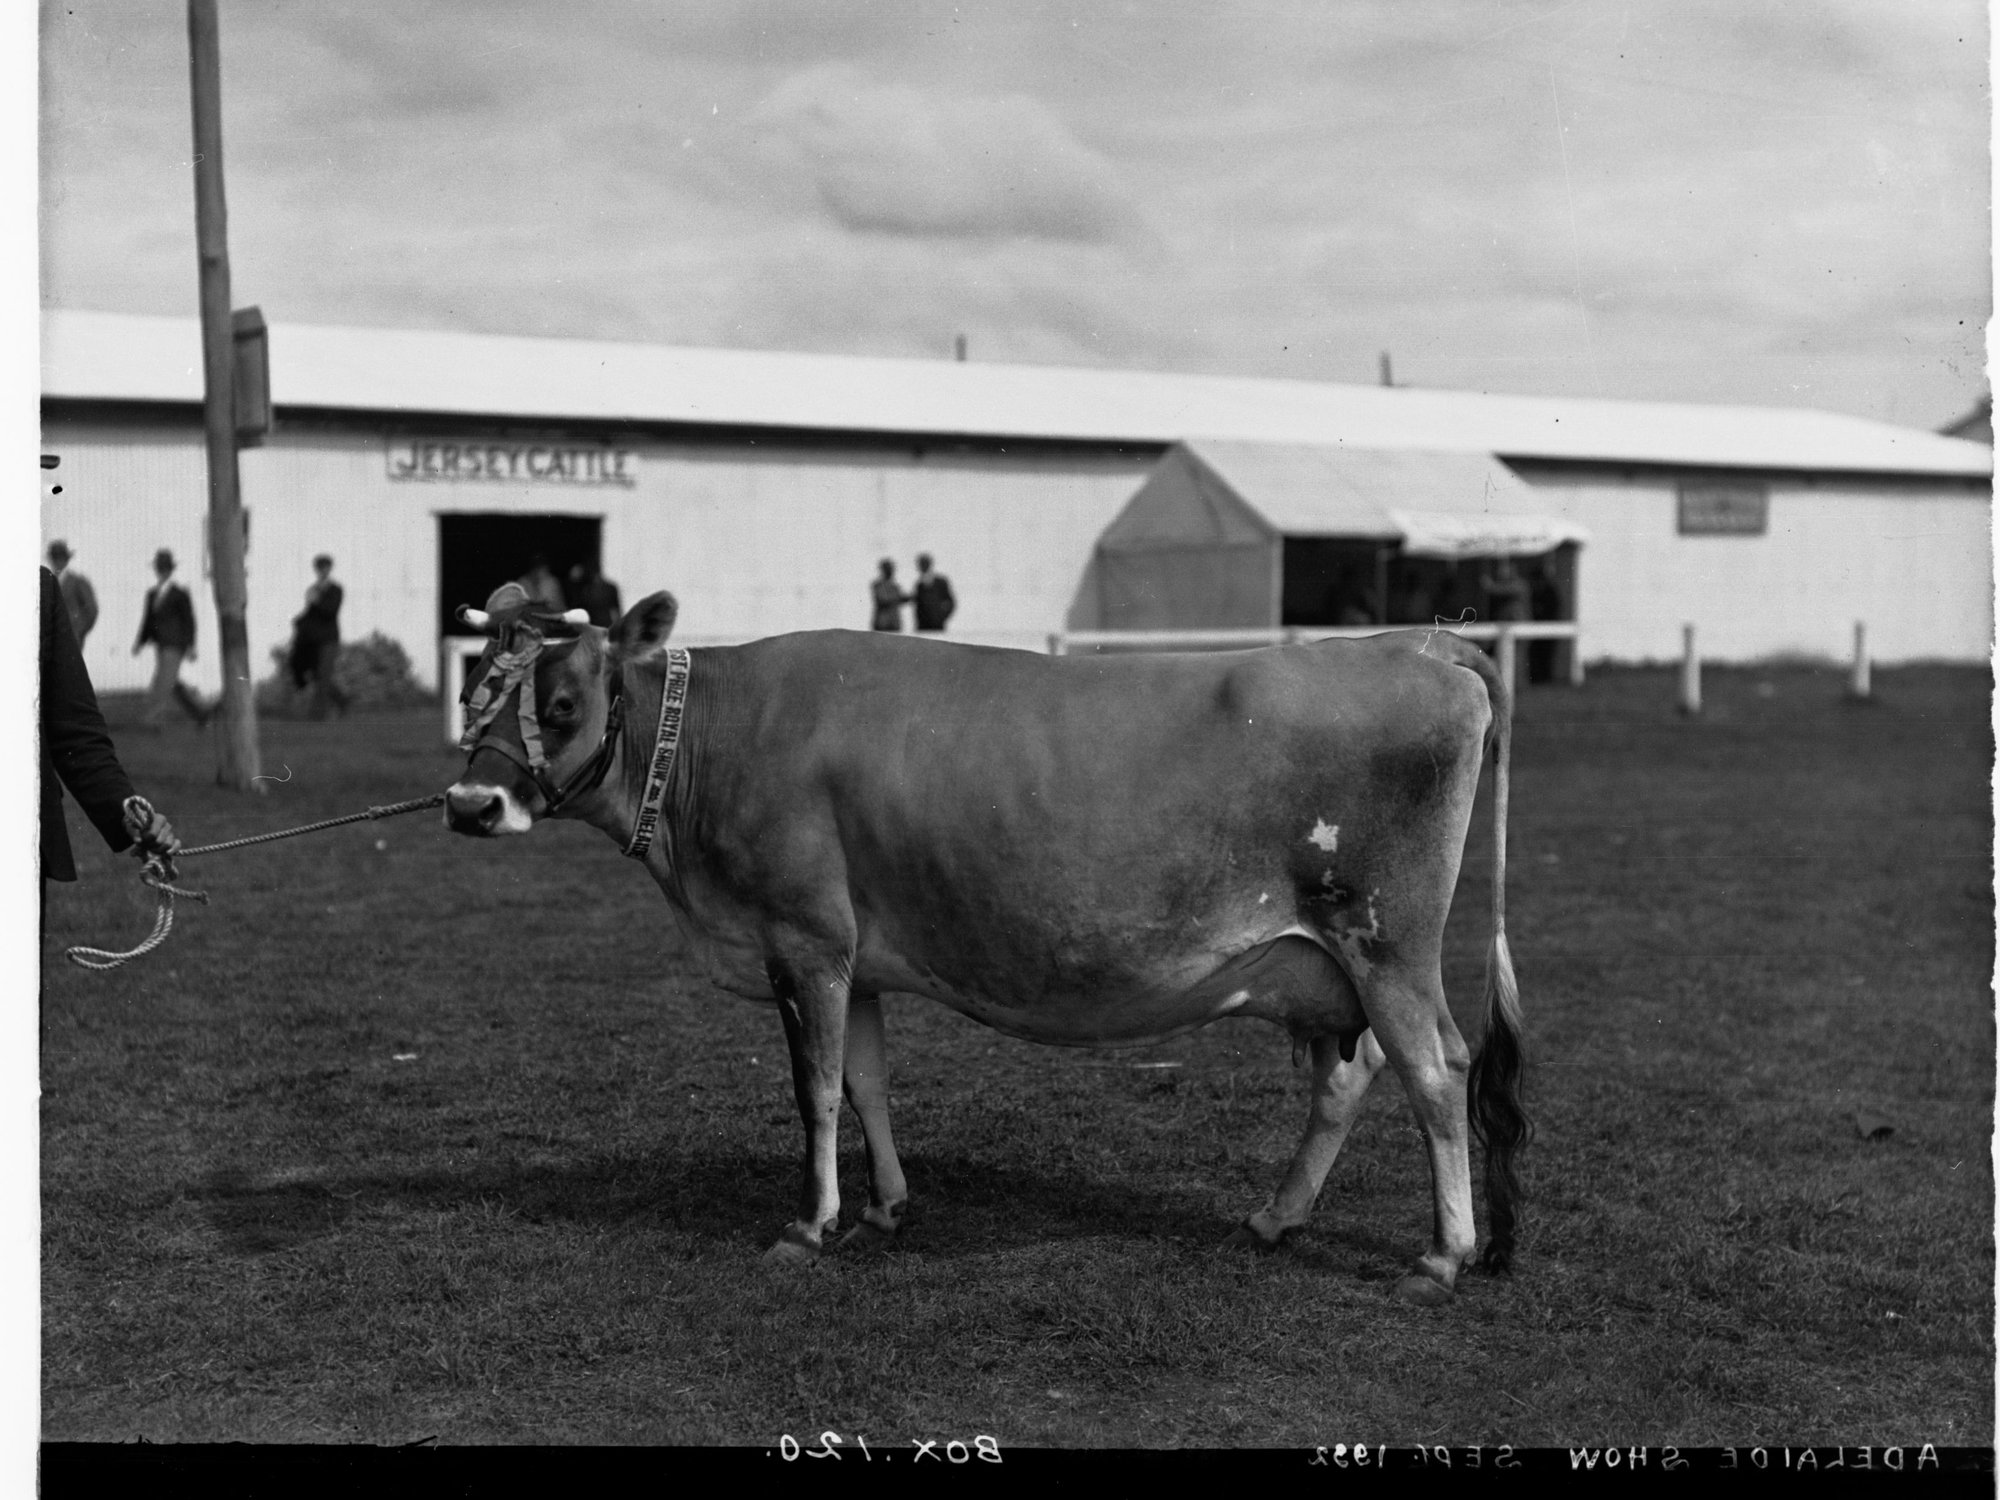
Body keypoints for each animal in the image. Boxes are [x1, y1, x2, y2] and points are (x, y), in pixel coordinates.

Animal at [443, 585, 1528, 1305]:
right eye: (472, 697)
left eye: (561, 706)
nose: (467, 803)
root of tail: (1417, 648)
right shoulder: (857, 959)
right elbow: (865, 1083)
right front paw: (883, 1207)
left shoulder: (801, 938)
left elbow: (813, 1089)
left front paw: (808, 1224)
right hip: (1327, 961)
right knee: (1351, 1075)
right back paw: (1277, 1215)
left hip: (1385, 937)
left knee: (1435, 1071)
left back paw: (1442, 1254)